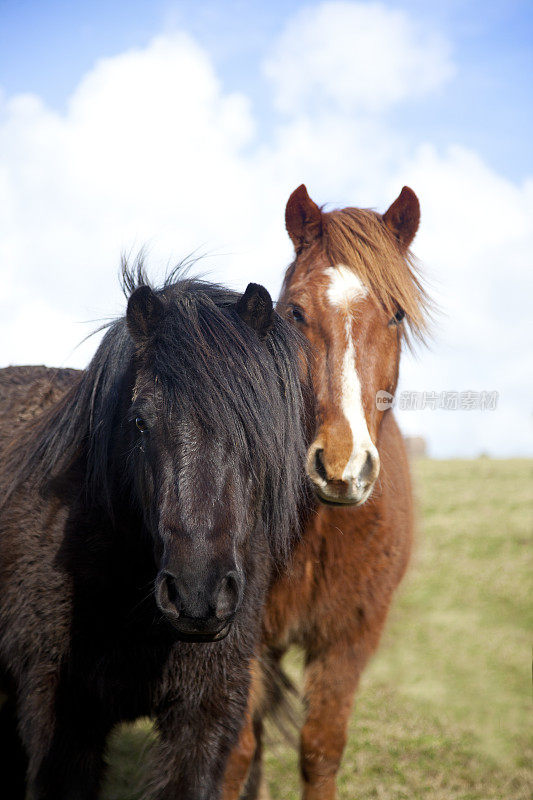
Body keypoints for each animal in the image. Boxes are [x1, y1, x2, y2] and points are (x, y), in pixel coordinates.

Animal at [222, 184, 430, 796]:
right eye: (294, 311)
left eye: (397, 313)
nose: (341, 468)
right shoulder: (242, 637)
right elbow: (236, 751)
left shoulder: (350, 639)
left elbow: (320, 749)